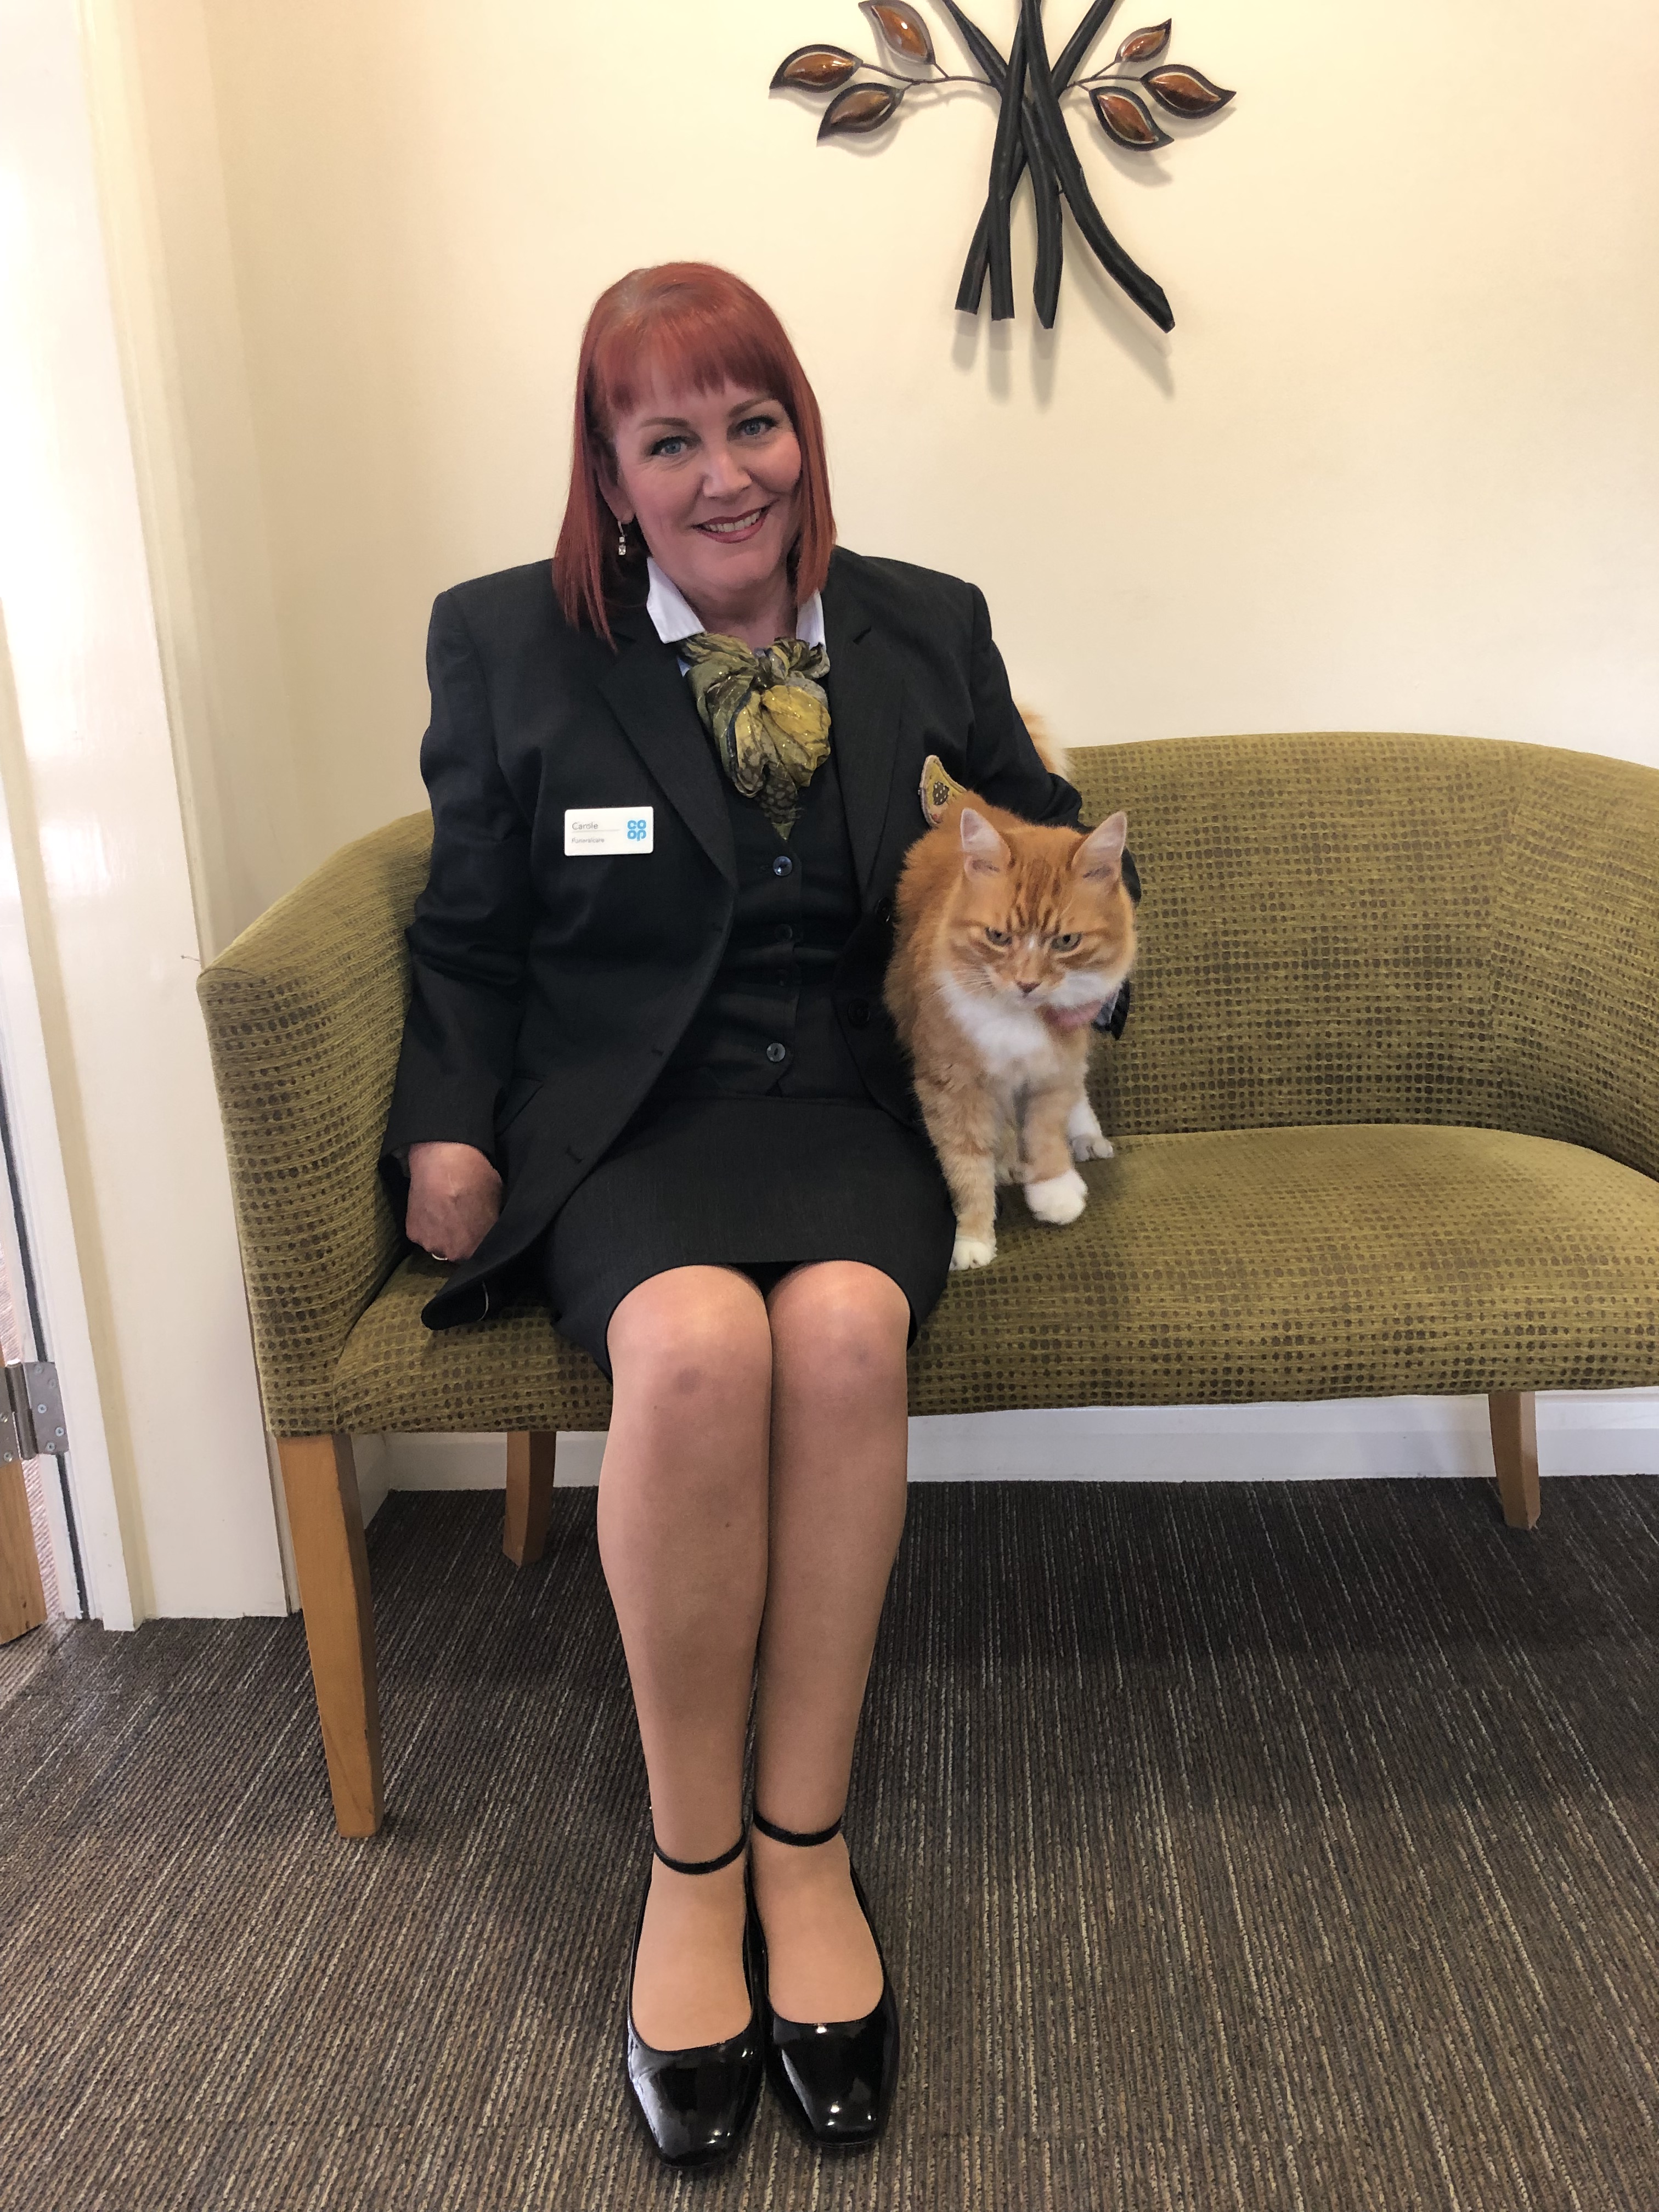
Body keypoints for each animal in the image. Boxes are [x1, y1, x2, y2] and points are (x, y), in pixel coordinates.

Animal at [889, 778, 1141, 1274]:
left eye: (1066, 941)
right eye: (998, 937)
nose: (1027, 983)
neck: (1017, 1017)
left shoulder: (1053, 1068)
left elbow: (1045, 1132)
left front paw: (1055, 1190)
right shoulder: (952, 1086)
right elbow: (966, 1167)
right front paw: (972, 1237)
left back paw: (1086, 1138)